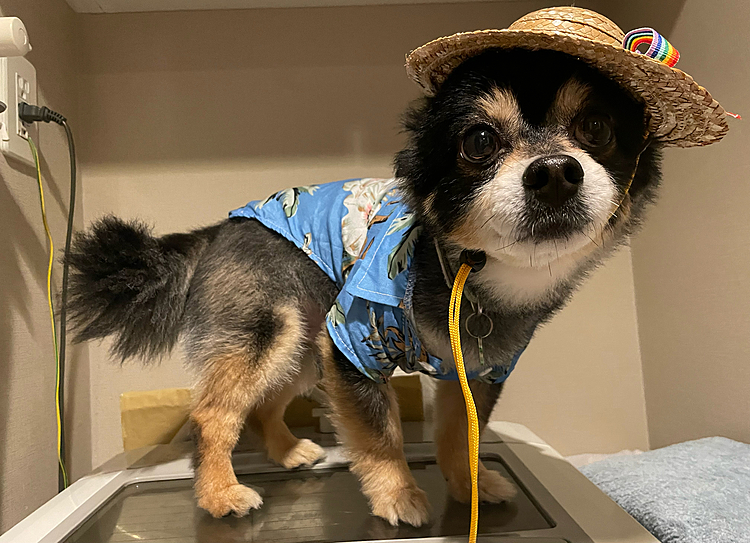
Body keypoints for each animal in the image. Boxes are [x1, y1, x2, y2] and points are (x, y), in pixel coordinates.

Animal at [67, 47, 660, 528]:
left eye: (597, 128)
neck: (465, 272)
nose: (555, 171)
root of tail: (220, 229)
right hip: (275, 331)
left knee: (263, 407)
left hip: (305, 346)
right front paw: (398, 495)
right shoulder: (352, 348)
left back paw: (287, 452)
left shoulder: (475, 370)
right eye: (479, 142)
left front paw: (467, 485)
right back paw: (220, 495)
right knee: (212, 415)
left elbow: (460, 435)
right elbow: (380, 436)